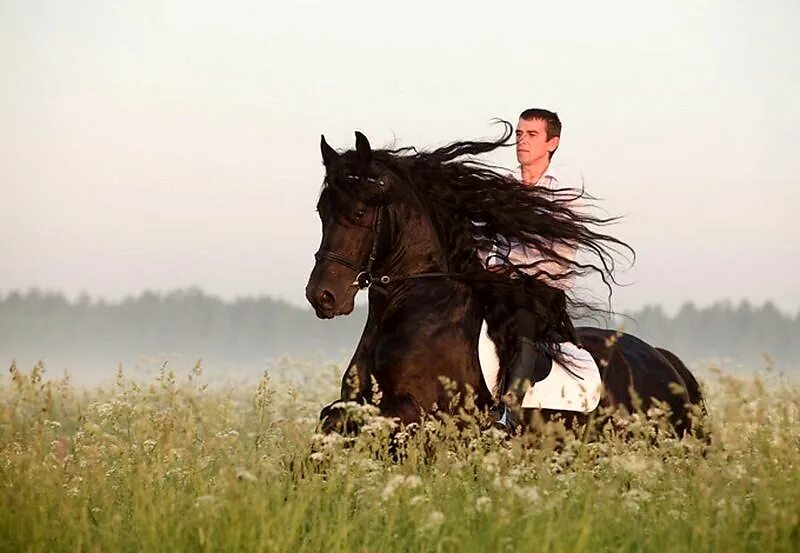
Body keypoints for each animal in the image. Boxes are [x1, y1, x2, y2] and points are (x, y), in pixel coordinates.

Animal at [304, 124, 704, 436]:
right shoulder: (357, 401)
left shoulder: (417, 409)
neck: (414, 303)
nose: (322, 296)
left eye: (359, 212)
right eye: (322, 211)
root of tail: (666, 361)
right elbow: (330, 417)